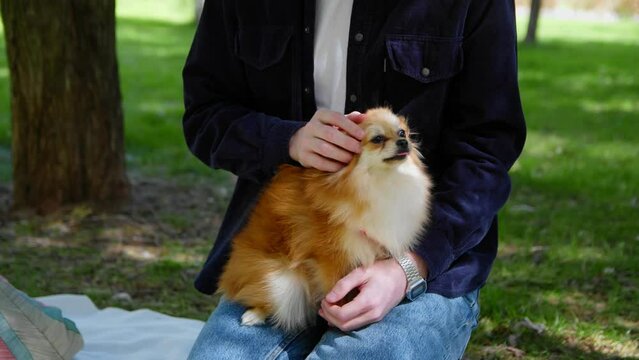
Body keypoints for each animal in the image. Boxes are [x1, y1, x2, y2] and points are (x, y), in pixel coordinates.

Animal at [218, 108, 432, 334]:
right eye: (378, 139)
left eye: (402, 132)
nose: (403, 142)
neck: (379, 181)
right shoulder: (331, 258)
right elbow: (337, 294)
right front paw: (339, 316)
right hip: (279, 282)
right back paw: (254, 314)